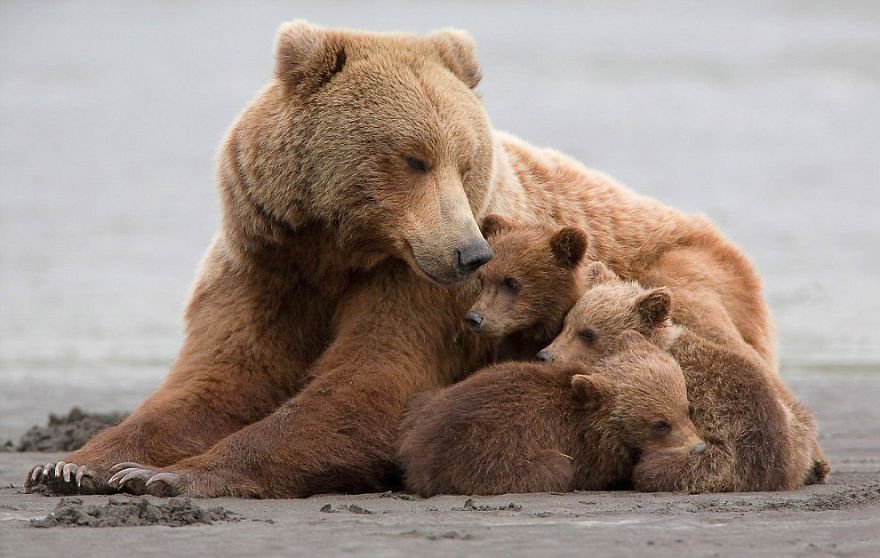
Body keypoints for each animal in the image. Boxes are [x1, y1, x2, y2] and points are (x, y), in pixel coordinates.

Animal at [24, 20, 772, 498]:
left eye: (464, 160)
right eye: (414, 157)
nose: (470, 252)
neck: (335, 252)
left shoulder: (416, 288)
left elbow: (372, 383)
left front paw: (173, 475)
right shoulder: (264, 264)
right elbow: (220, 379)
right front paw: (78, 464)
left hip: (681, 274)